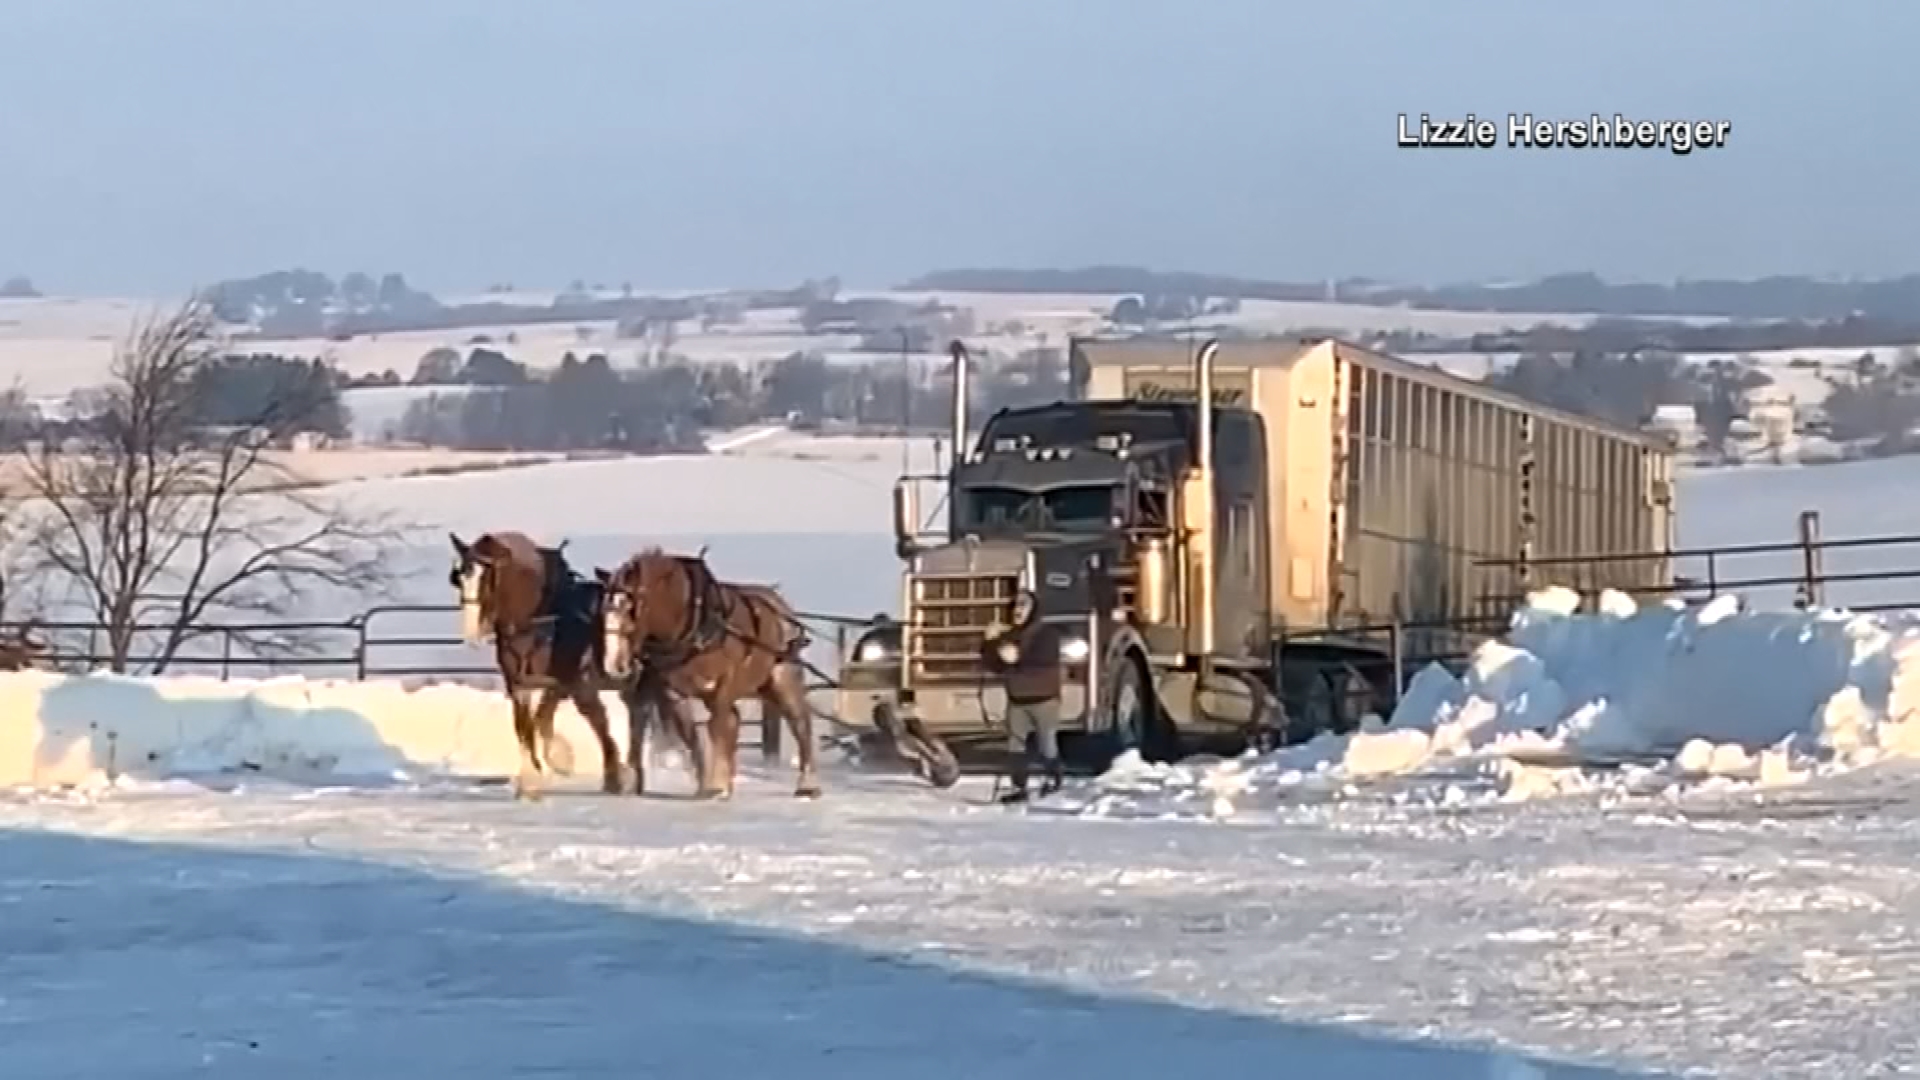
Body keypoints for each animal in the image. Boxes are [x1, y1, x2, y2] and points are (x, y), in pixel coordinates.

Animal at [450, 530, 692, 800]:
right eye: (459, 577)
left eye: (489, 577)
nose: (472, 634)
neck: (543, 623)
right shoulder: (526, 685)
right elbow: (529, 724)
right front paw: (536, 776)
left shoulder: (578, 685)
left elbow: (598, 723)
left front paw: (612, 775)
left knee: (638, 719)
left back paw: (632, 775)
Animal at [597, 548, 820, 800]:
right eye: (605, 609)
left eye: (633, 608)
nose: (614, 664)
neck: (695, 627)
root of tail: (780, 606)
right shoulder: (674, 694)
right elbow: (691, 736)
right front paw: (706, 783)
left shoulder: (723, 687)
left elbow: (717, 729)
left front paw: (716, 783)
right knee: (734, 721)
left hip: (783, 679)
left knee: (799, 723)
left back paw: (807, 785)